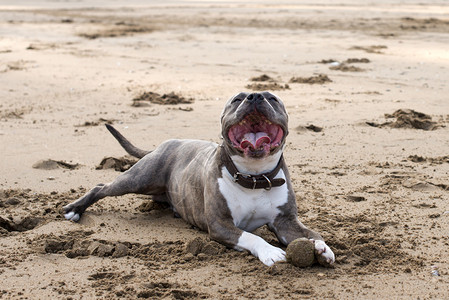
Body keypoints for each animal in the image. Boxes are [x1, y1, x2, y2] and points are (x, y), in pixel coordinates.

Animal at [65, 92, 334, 268]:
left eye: (273, 98)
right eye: (237, 99)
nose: (255, 96)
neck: (254, 177)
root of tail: (166, 143)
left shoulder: (286, 221)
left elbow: (312, 232)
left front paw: (322, 247)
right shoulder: (220, 225)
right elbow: (251, 236)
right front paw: (270, 251)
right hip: (138, 178)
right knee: (101, 187)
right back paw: (75, 209)